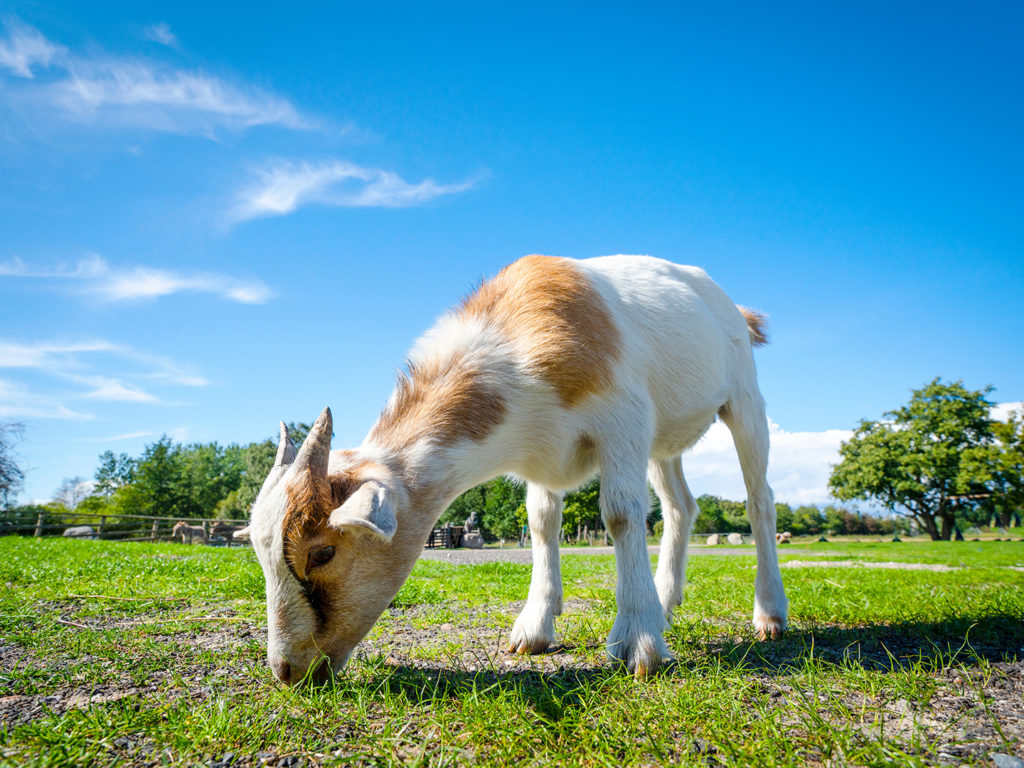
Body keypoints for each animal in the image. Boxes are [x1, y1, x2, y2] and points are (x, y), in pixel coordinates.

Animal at [235, 257, 786, 684]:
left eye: (322, 552)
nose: (287, 671)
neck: (515, 343)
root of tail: (735, 310)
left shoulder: (623, 420)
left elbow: (621, 514)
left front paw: (638, 642)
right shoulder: (541, 453)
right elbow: (542, 522)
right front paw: (534, 629)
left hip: (745, 400)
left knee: (759, 500)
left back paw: (769, 615)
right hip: (664, 444)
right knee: (680, 507)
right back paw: (667, 602)